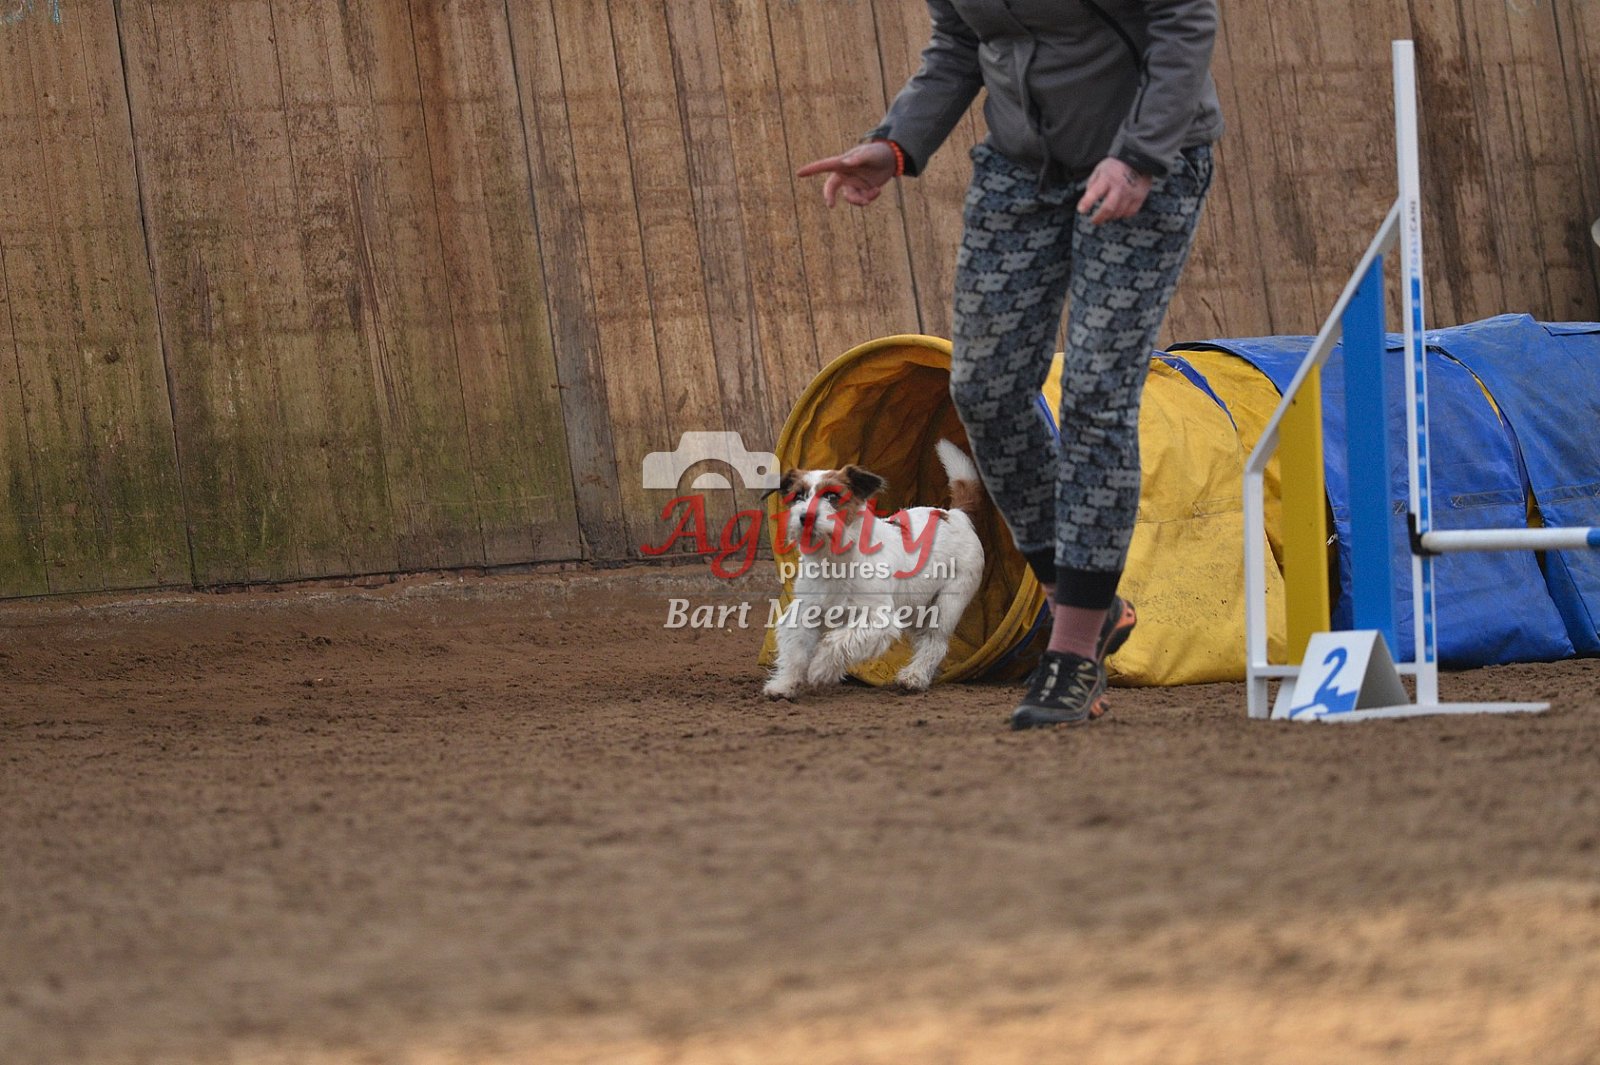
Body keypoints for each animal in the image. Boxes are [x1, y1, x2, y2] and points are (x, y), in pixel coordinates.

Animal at [764, 440, 985, 698]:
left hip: (947, 605)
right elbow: (796, 648)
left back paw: (914, 676)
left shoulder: (878, 620)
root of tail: (956, 515)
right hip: (916, 607)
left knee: (935, 642)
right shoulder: (806, 611)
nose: (805, 517)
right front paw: (784, 683)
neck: (833, 560)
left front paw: (821, 668)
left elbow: (836, 642)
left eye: (832, 495)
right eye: (798, 495)